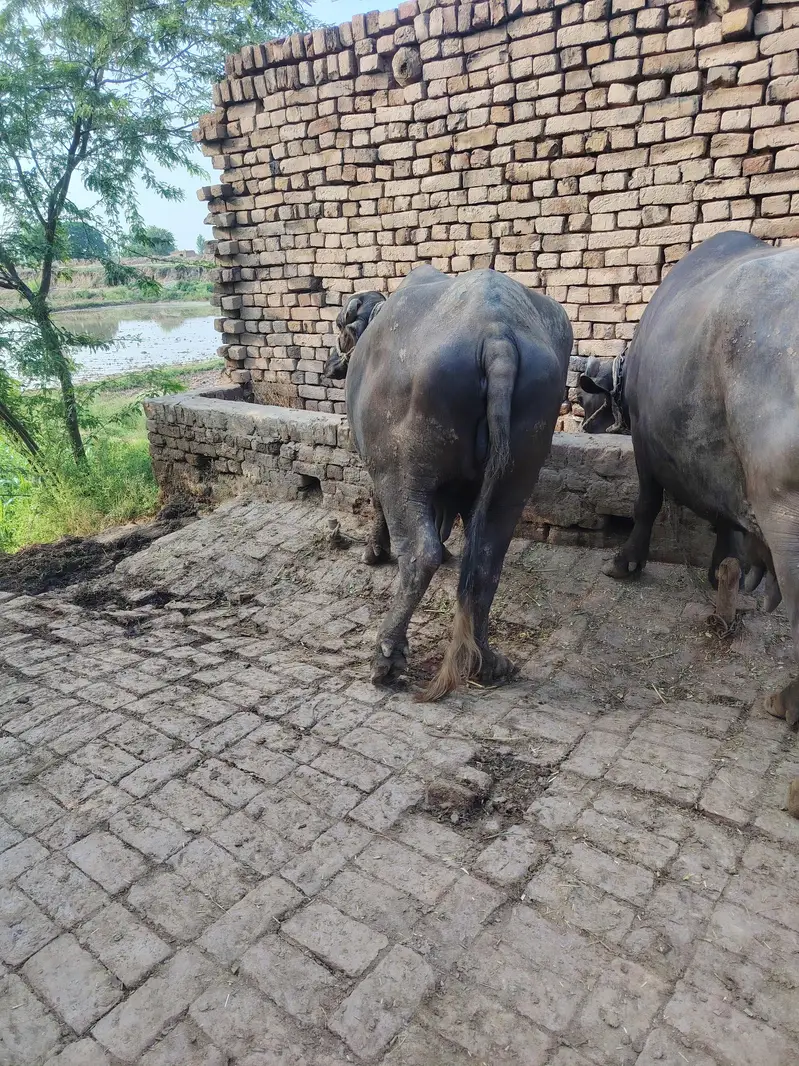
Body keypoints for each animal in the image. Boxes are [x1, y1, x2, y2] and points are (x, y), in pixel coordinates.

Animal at [325, 265, 572, 700]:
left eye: (341, 326)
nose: (331, 363)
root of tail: (496, 335)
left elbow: (377, 503)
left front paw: (373, 551)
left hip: (401, 470)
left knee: (418, 552)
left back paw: (387, 657)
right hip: (519, 470)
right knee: (486, 562)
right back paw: (487, 662)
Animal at [584, 231, 799, 727]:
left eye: (591, 403)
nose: (583, 425)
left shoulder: (645, 446)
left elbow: (646, 504)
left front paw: (624, 561)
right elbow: (726, 527)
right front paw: (720, 572)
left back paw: (786, 702)